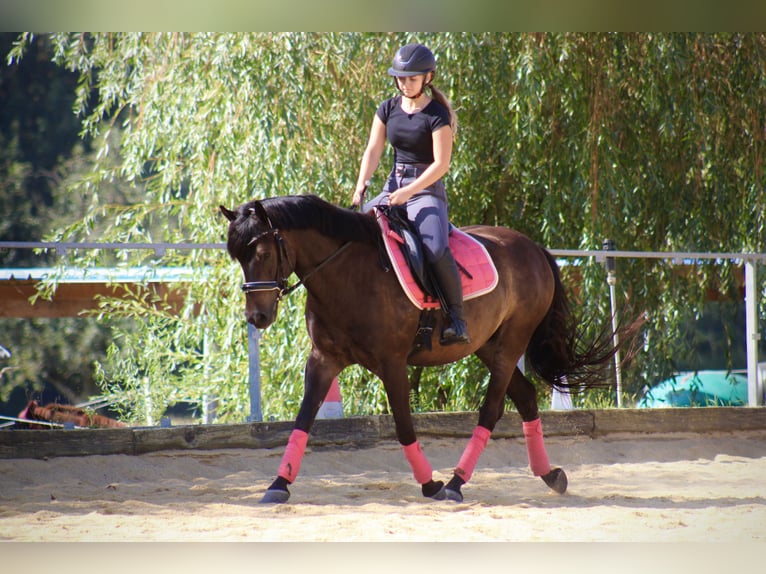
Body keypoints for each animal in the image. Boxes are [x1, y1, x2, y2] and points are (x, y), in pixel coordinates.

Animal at [221, 194, 633, 503]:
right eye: (237, 257)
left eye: (261, 252)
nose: (257, 316)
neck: (348, 273)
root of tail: (533, 247)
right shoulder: (323, 359)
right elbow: (303, 420)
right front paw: (278, 485)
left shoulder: (392, 364)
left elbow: (403, 426)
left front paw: (430, 484)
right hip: (487, 344)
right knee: (526, 396)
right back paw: (549, 475)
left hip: (512, 341)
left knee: (492, 408)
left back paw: (455, 482)